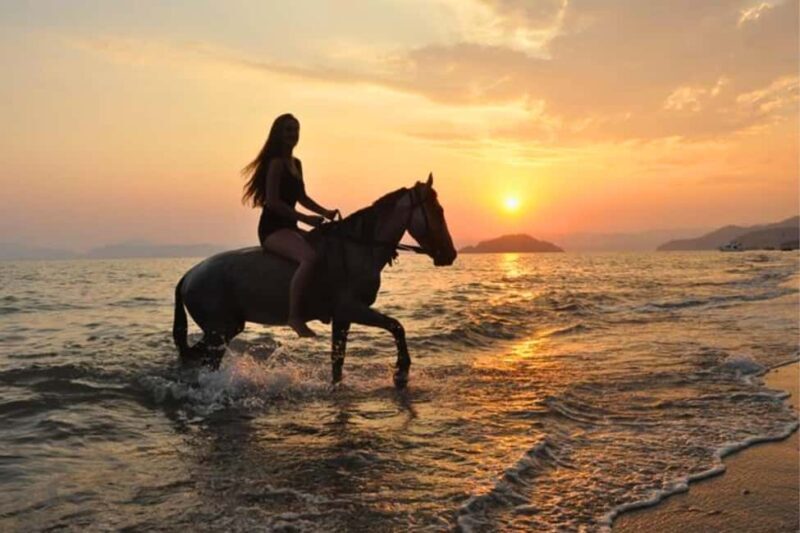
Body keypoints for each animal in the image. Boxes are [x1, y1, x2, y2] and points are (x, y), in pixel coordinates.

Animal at [172, 174, 457, 388]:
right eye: (438, 210)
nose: (450, 254)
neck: (357, 248)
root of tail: (188, 276)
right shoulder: (351, 309)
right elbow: (397, 326)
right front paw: (401, 372)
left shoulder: (343, 318)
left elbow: (337, 362)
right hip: (218, 332)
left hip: (226, 329)